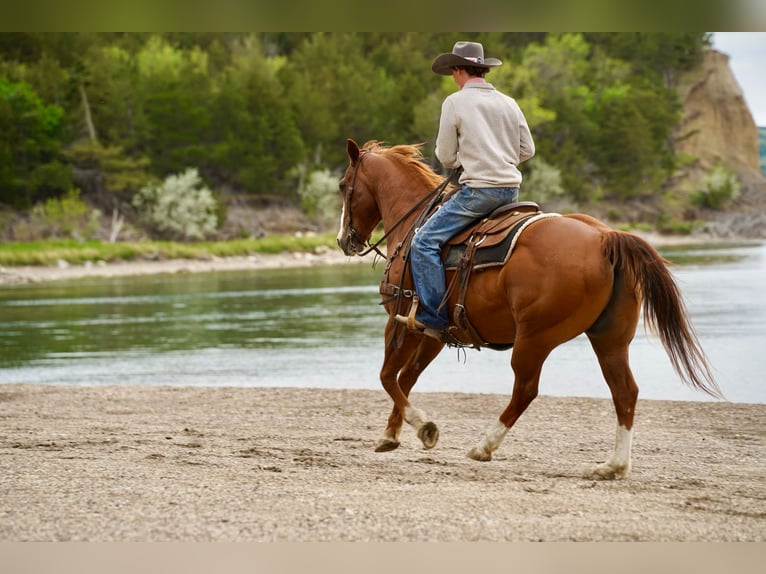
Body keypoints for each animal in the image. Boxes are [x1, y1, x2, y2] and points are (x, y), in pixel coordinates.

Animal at [336, 139, 722, 479]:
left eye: (342, 186)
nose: (343, 240)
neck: (415, 223)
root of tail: (604, 238)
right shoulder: (433, 332)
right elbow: (407, 378)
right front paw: (391, 434)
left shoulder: (400, 321)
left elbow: (388, 376)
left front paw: (422, 428)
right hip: (609, 339)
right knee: (624, 391)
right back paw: (613, 466)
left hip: (535, 338)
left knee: (526, 389)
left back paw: (485, 446)